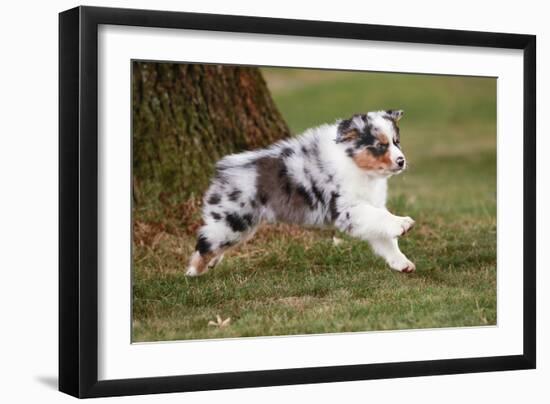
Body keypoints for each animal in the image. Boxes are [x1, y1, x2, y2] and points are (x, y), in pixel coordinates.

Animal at [188, 109, 416, 276]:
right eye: (380, 145)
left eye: (396, 141)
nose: (402, 161)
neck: (358, 167)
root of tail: (224, 168)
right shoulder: (347, 209)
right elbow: (381, 218)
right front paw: (403, 223)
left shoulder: (366, 208)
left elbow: (384, 236)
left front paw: (402, 262)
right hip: (233, 220)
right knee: (205, 241)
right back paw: (192, 273)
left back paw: (211, 263)